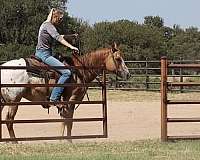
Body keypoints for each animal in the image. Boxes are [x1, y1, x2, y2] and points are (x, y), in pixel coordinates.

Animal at [0, 43, 130, 142]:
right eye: (118, 59)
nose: (128, 74)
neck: (79, 71)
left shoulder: (65, 102)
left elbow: (65, 120)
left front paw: (62, 139)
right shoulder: (71, 99)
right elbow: (69, 120)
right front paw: (68, 140)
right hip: (14, 100)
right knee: (9, 120)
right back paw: (15, 142)